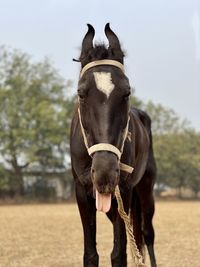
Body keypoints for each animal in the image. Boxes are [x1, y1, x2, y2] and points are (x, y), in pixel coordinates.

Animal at [70, 23, 156, 267]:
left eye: (127, 92)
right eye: (81, 92)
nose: (105, 173)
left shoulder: (123, 190)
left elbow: (119, 254)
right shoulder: (82, 192)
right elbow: (91, 254)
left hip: (146, 188)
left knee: (146, 234)